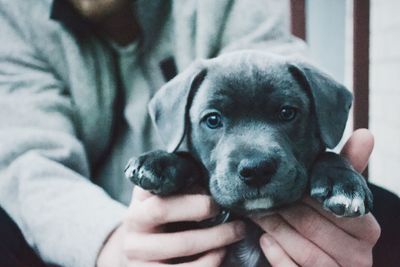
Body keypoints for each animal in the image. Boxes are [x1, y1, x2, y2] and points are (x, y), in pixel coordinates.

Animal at [124, 50, 372, 267]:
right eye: (212, 119)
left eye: (287, 113)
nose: (257, 169)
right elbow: (187, 156)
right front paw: (160, 162)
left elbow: (328, 155)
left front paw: (344, 182)